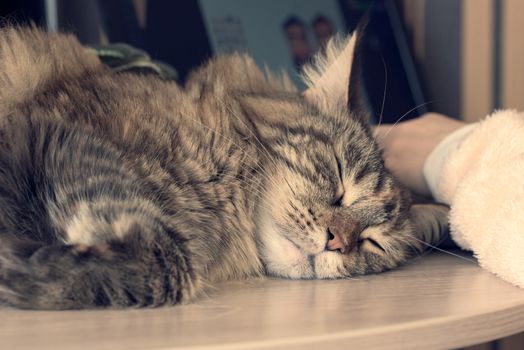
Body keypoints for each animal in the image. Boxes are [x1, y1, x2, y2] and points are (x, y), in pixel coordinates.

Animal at [0, 24, 448, 308]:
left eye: (371, 242)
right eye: (339, 178)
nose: (336, 241)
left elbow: (168, 265)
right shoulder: (67, 132)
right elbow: (166, 261)